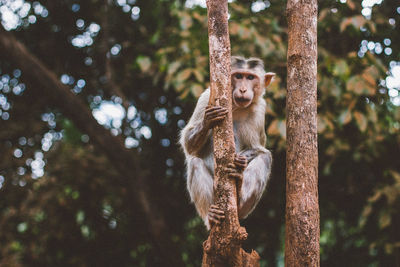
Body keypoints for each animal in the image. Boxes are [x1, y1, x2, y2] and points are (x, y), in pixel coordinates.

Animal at [179, 56, 276, 230]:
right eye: (238, 76)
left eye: (250, 77)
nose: (243, 90)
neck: (235, 106)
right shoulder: (207, 97)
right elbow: (188, 145)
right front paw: (208, 121)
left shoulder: (260, 109)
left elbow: (260, 149)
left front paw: (240, 160)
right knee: (195, 163)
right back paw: (211, 217)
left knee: (265, 158)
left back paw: (239, 194)